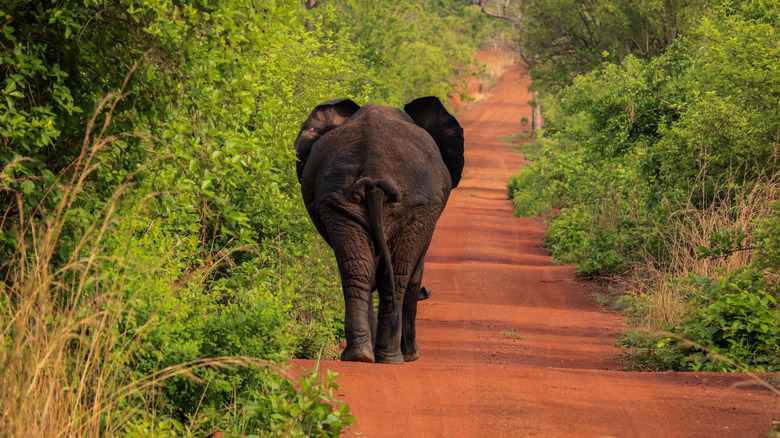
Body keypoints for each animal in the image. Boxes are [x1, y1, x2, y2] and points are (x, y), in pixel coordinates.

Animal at [294, 96, 464, 364]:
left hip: (338, 202)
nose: (430, 293)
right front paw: (413, 355)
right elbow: (415, 274)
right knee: (398, 275)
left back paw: (359, 356)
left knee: (358, 271)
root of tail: (374, 172)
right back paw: (391, 358)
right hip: (414, 207)